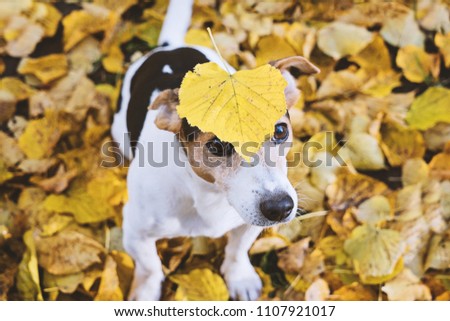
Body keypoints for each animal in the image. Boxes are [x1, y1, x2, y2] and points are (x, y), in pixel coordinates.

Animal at [110, 0, 318, 300]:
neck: (209, 195)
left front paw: (240, 277)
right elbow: (150, 266)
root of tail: (170, 47)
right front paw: (146, 291)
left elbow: (238, 249)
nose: (279, 208)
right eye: (216, 146)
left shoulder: (248, 222)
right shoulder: (135, 230)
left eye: (280, 131)